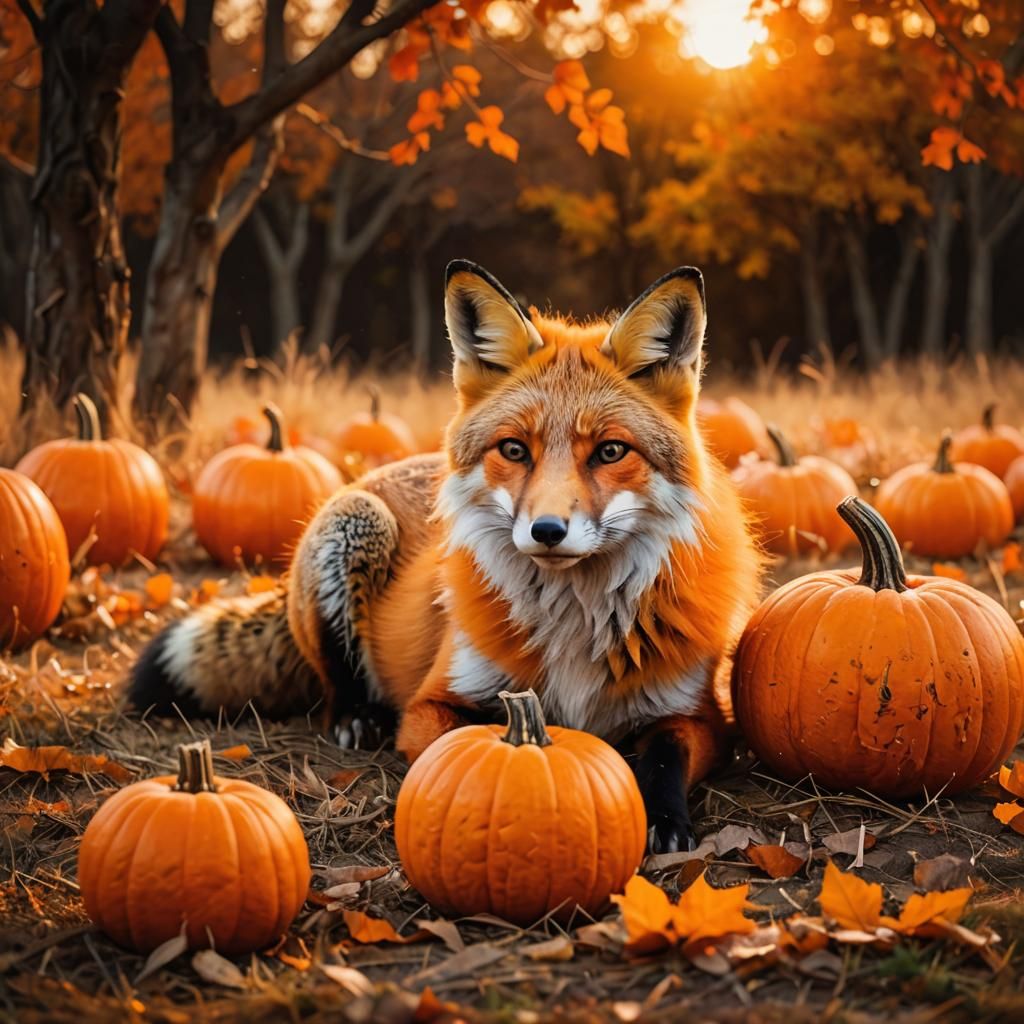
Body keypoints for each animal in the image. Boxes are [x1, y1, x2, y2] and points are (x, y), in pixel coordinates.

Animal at [130, 260, 764, 852]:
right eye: (514, 450)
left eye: (610, 452)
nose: (547, 531)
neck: (573, 629)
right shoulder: (434, 701)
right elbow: (455, 750)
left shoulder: (698, 717)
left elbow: (664, 760)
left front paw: (665, 821)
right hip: (355, 526)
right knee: (335, 684)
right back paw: (357, 718)